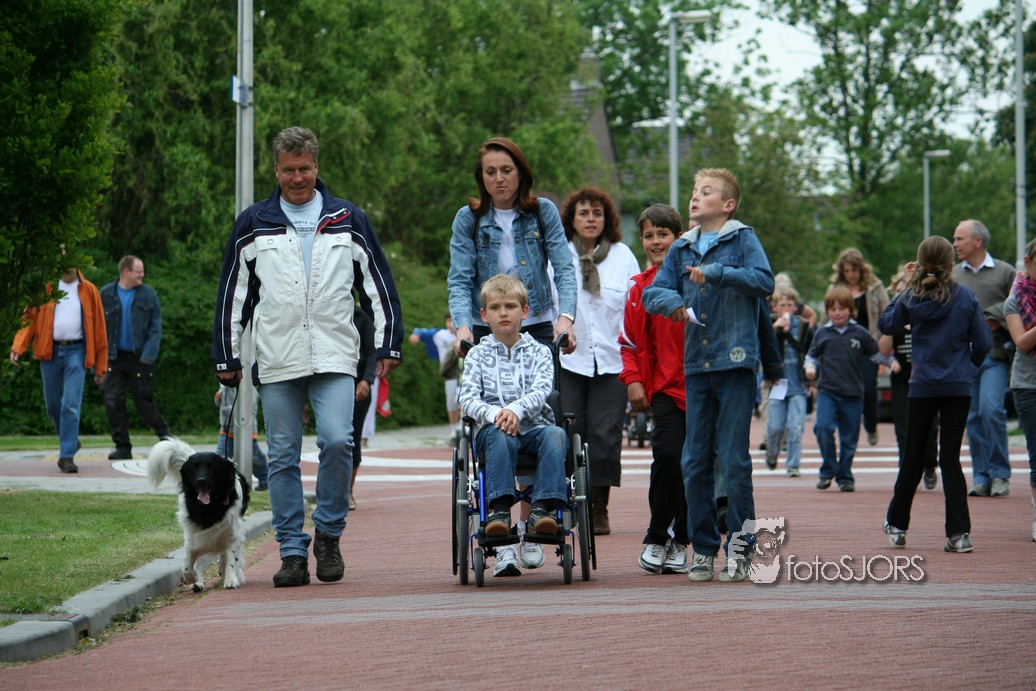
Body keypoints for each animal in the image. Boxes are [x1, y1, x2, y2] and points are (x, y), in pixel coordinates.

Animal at [147, 438, 250, 591]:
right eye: (193, 468)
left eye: (212, 467)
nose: (201, 481)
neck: (208, 508)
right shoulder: (194, 537)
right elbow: (187, 566)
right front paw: (194, 578)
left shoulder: (233, 534)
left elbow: (232, 559)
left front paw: (231, 579)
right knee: (200, 561)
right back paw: (199, 583)